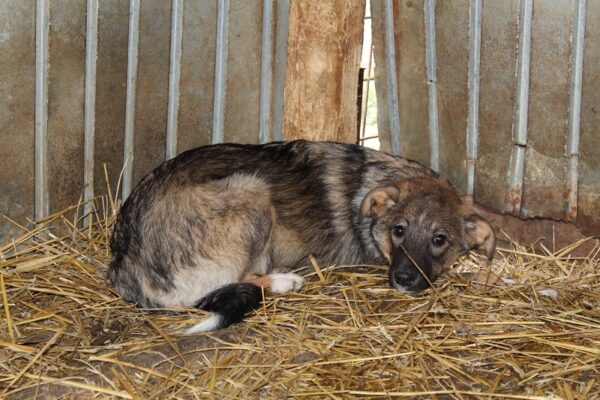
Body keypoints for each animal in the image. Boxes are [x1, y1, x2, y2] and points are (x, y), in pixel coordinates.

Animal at [109, 139, 496, 332]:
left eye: (439, 239)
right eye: (398, 231)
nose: (403, 279)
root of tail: (123, 264)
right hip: (251, 187)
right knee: (232, 282)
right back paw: (283, 281)